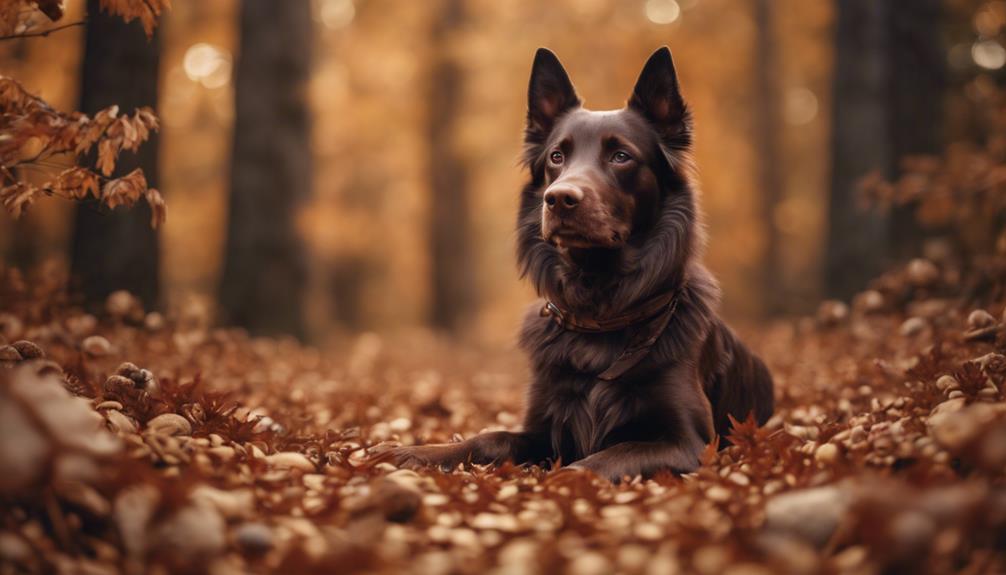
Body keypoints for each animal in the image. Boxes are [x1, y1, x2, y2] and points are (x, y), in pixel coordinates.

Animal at [388, 48, 772, 480]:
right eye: (557, 156)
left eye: (621, 156)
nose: (558, 198)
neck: (598, 311)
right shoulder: (544, 427)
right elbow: (491, 437)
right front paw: (417, 452)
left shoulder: (690, 443)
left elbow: (594, 462)